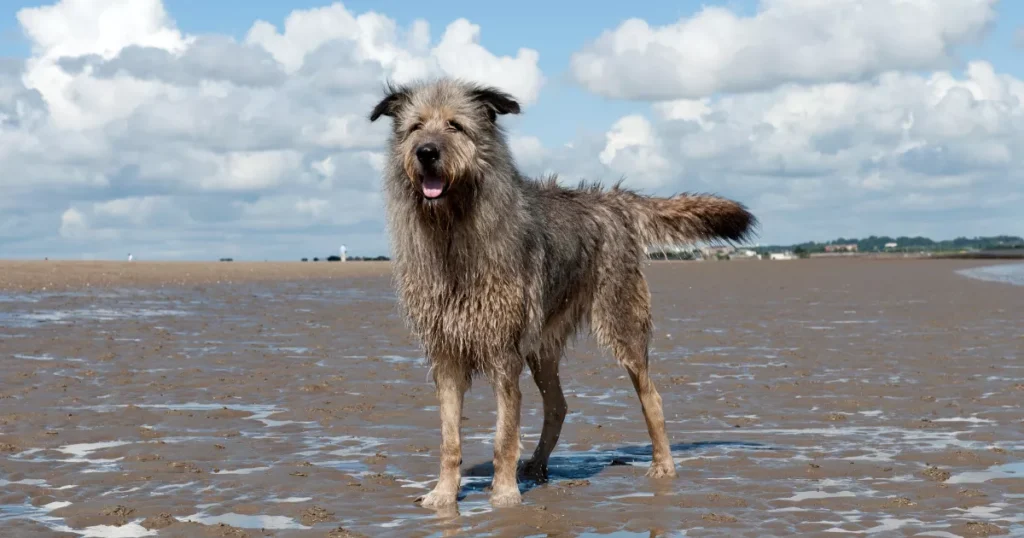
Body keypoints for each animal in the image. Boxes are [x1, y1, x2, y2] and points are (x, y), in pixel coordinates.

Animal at [366, 77, 753, 506]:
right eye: (416, 127)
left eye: (455, 126)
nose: (426, 152)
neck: (453, 234)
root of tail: (613, 200)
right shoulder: (446, 354)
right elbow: (450, 439)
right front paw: (444, 495)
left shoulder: (504, 354)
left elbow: (504, 434)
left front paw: (503, 495)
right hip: (543, 346)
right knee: (558, 405)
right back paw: (536, 467)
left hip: (621, 324)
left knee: (651, 396)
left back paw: (663, 466)